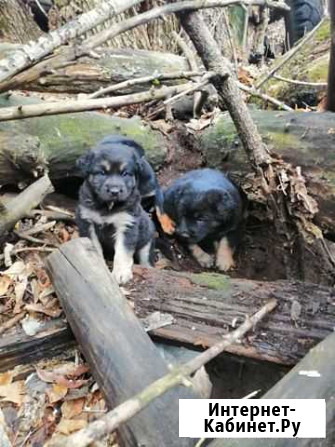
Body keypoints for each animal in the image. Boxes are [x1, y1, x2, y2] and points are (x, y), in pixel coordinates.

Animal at [75, 135, 157, 286]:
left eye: (125, 173)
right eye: (102, 173)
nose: (114, 191)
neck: (107, 206)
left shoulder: (126, 225)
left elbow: (122, 253)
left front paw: (121, 274)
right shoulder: (86, 221)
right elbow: (95, 246)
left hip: (147, 242)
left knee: (146, 260)